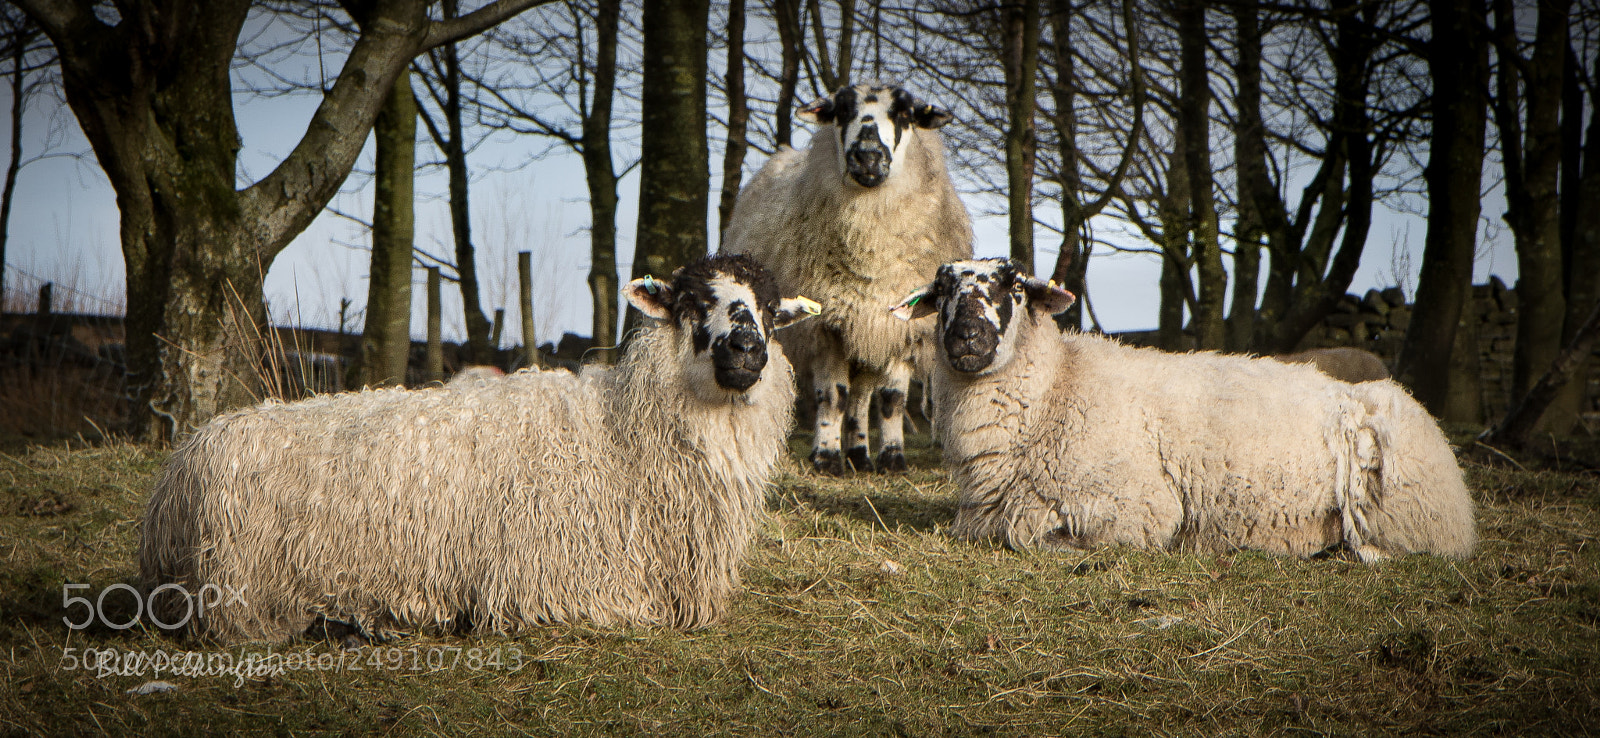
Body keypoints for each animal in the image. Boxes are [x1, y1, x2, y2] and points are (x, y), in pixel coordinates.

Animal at [138, 255, 820, 644]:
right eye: (693, 303)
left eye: (769, 311)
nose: (747, 351)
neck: (623, 433)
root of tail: (179, 472)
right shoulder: (559, 586)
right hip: (244, 585)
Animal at [721, 83, 973, 475]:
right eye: (841, 111)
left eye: (904, 113)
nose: (867, 156)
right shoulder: (828, 324)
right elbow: (833, 396)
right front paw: (825, 458)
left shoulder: (895, 326)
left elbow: (891, 399)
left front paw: (892, 459)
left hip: (867, 333)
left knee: (863, 395)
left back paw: (859, 453)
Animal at [892, 258, 1476, 562]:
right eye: (942, 290)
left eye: (1012, 285)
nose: (966, 338)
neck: (1058, 389)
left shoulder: (1136, 508)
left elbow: (1036, 538)